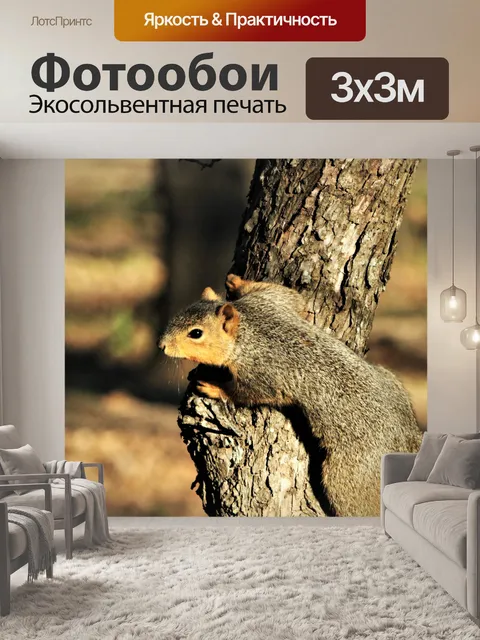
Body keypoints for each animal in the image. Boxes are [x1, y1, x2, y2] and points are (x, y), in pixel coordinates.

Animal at [159, 274, 422, 517]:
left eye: (196, 333)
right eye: (178, 314)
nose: (162, 345)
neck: (248, 330)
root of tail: (406, 438)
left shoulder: (261, 372)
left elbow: (247, 392)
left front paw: (213, 387)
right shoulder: (271, 302)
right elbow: (290, 296)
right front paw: (237, 281)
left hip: (349, 479)